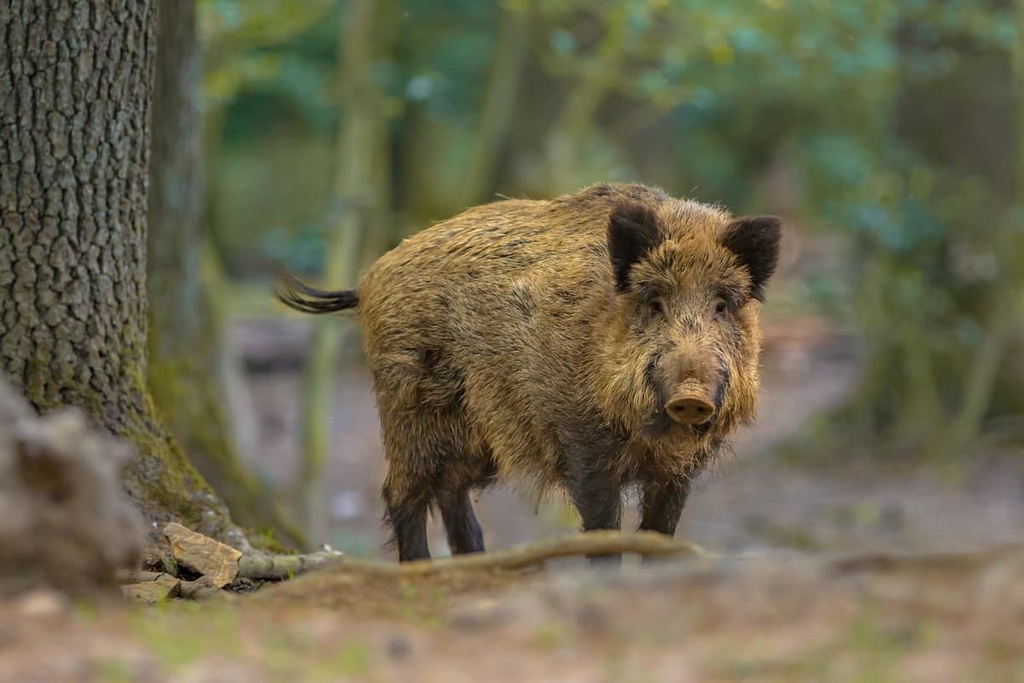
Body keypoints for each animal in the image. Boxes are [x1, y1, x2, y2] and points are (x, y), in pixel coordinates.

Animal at [277, 182, 782, 564]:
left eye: (722, 306)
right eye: (654, 303)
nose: (690, 395)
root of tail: (368, 280)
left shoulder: (679, 470)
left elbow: (659, 534)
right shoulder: (582, 442)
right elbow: (603, 531)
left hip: (477, 437)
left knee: (451, 491)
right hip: (409, 410)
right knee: (400, 493)